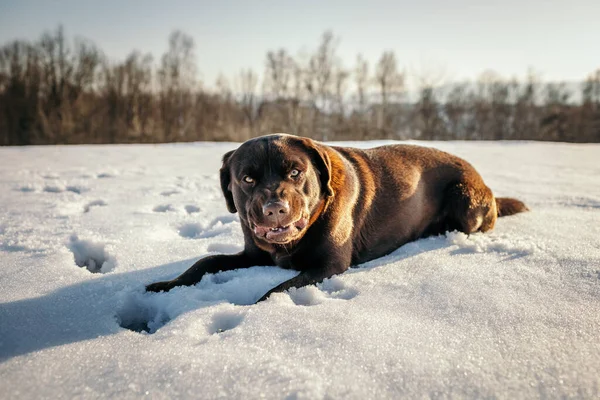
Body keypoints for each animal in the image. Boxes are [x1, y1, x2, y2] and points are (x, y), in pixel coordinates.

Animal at [148, 134, 528, 300]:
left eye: (296, 172)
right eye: (248, 179)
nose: (275, 208)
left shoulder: (329, 265)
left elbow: (278, 289)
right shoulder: (252, 253)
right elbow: (205, 261)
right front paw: (164, 285)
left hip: (465, 197)